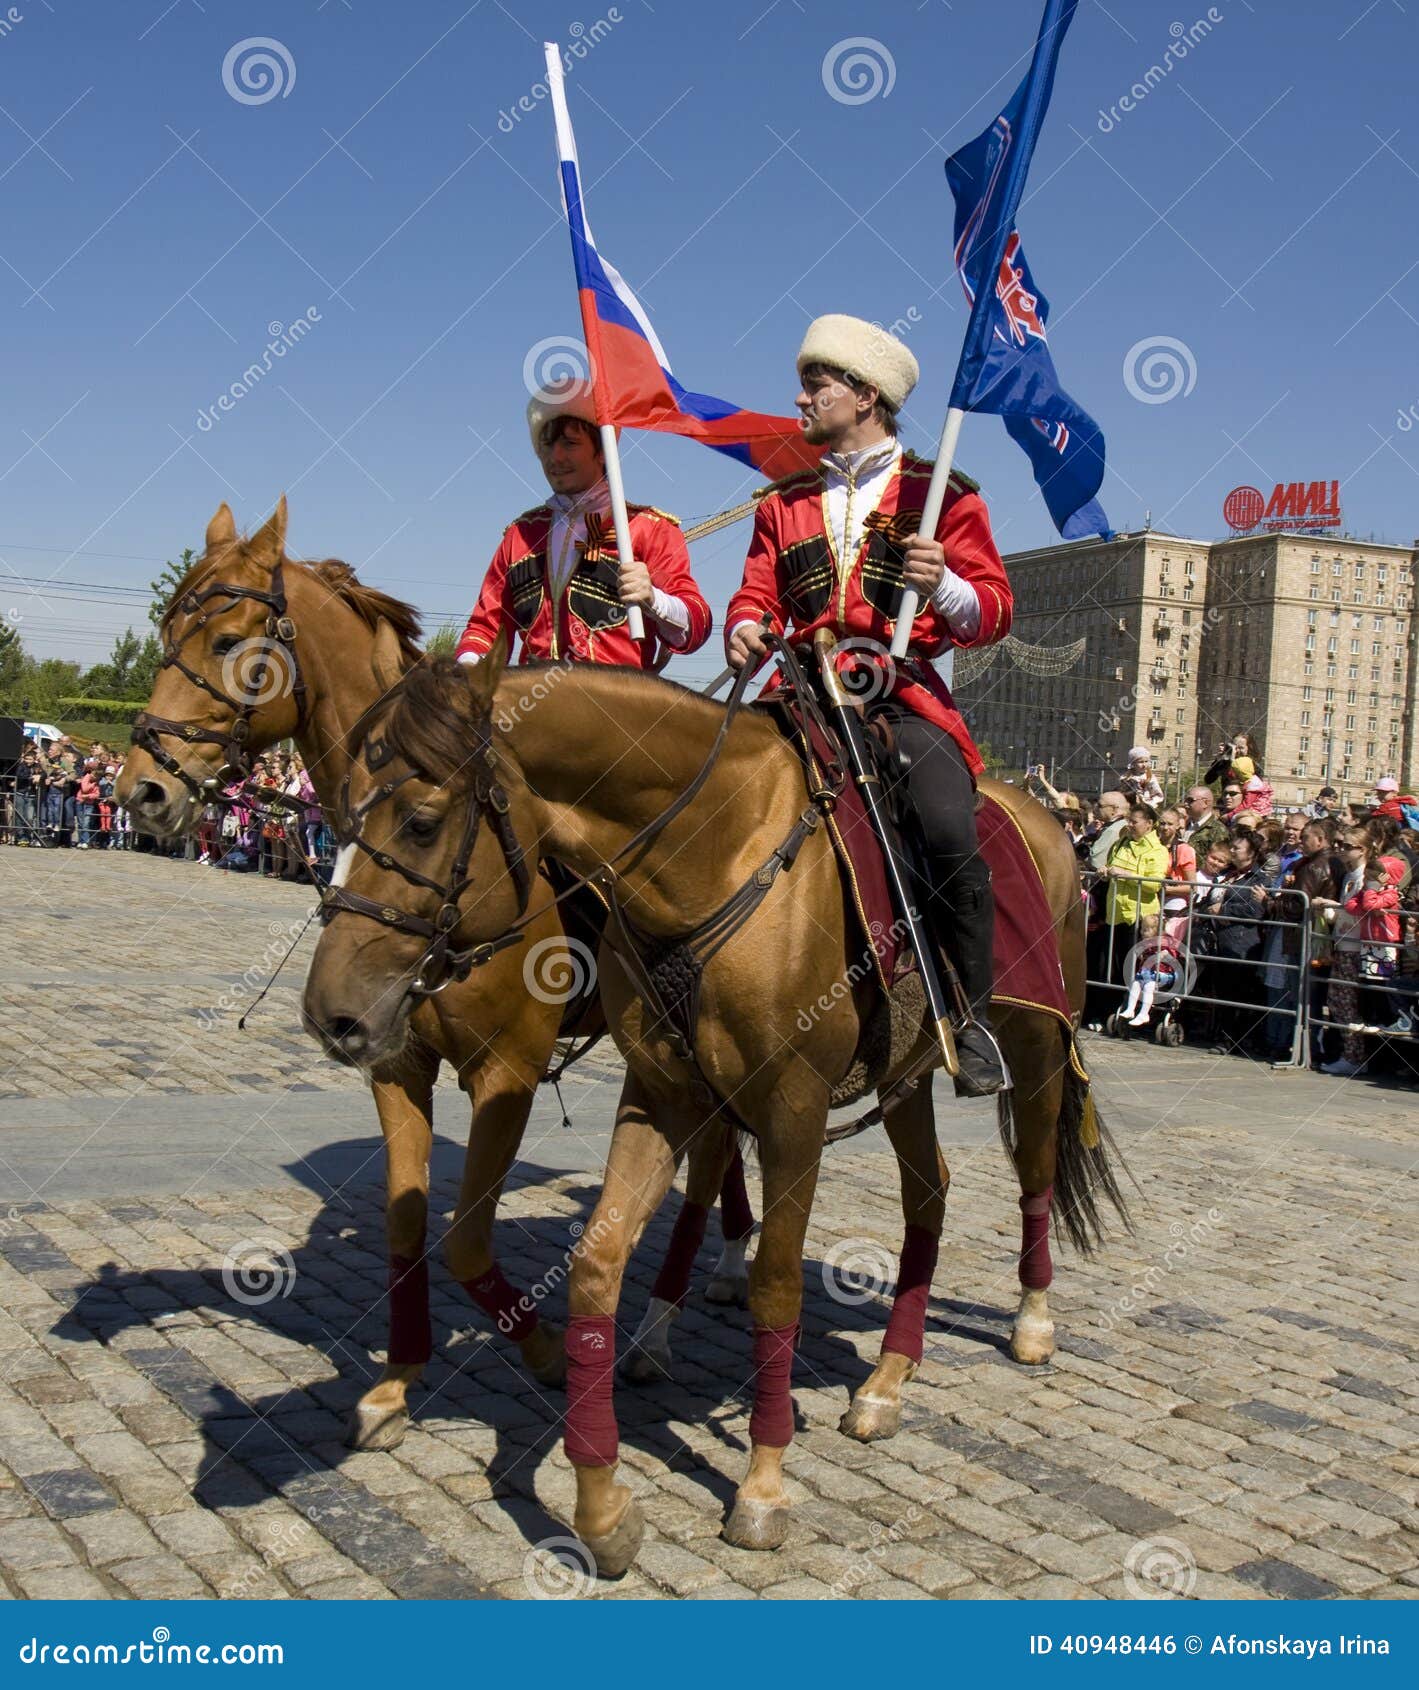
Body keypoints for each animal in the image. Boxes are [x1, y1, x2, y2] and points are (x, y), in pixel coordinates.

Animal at [119, 496, 753, 1453]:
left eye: (228, 639)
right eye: (164, 633)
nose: (142, 790)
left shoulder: (508, 1071)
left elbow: (465, 1240)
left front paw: (543, 1349)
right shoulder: (394, 1063)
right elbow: (407, 1220)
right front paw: (396, 1381)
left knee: (716, 1154)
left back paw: (661, 1325)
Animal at [304, 642, 1128, 1568]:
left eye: (420, 820)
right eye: (338, 808)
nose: (332, 1013)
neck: (717, 854)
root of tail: (1045, 821)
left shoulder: (783, 1108)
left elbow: (776, 1285)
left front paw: (762, 1484)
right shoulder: (657, 1093)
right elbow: (591, 1264)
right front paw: (600, 1504)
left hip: (1035, 1044)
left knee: (1033, 1169)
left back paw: (1031, 1321)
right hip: (906, 1072)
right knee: (929, 1193)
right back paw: (885, 1377)